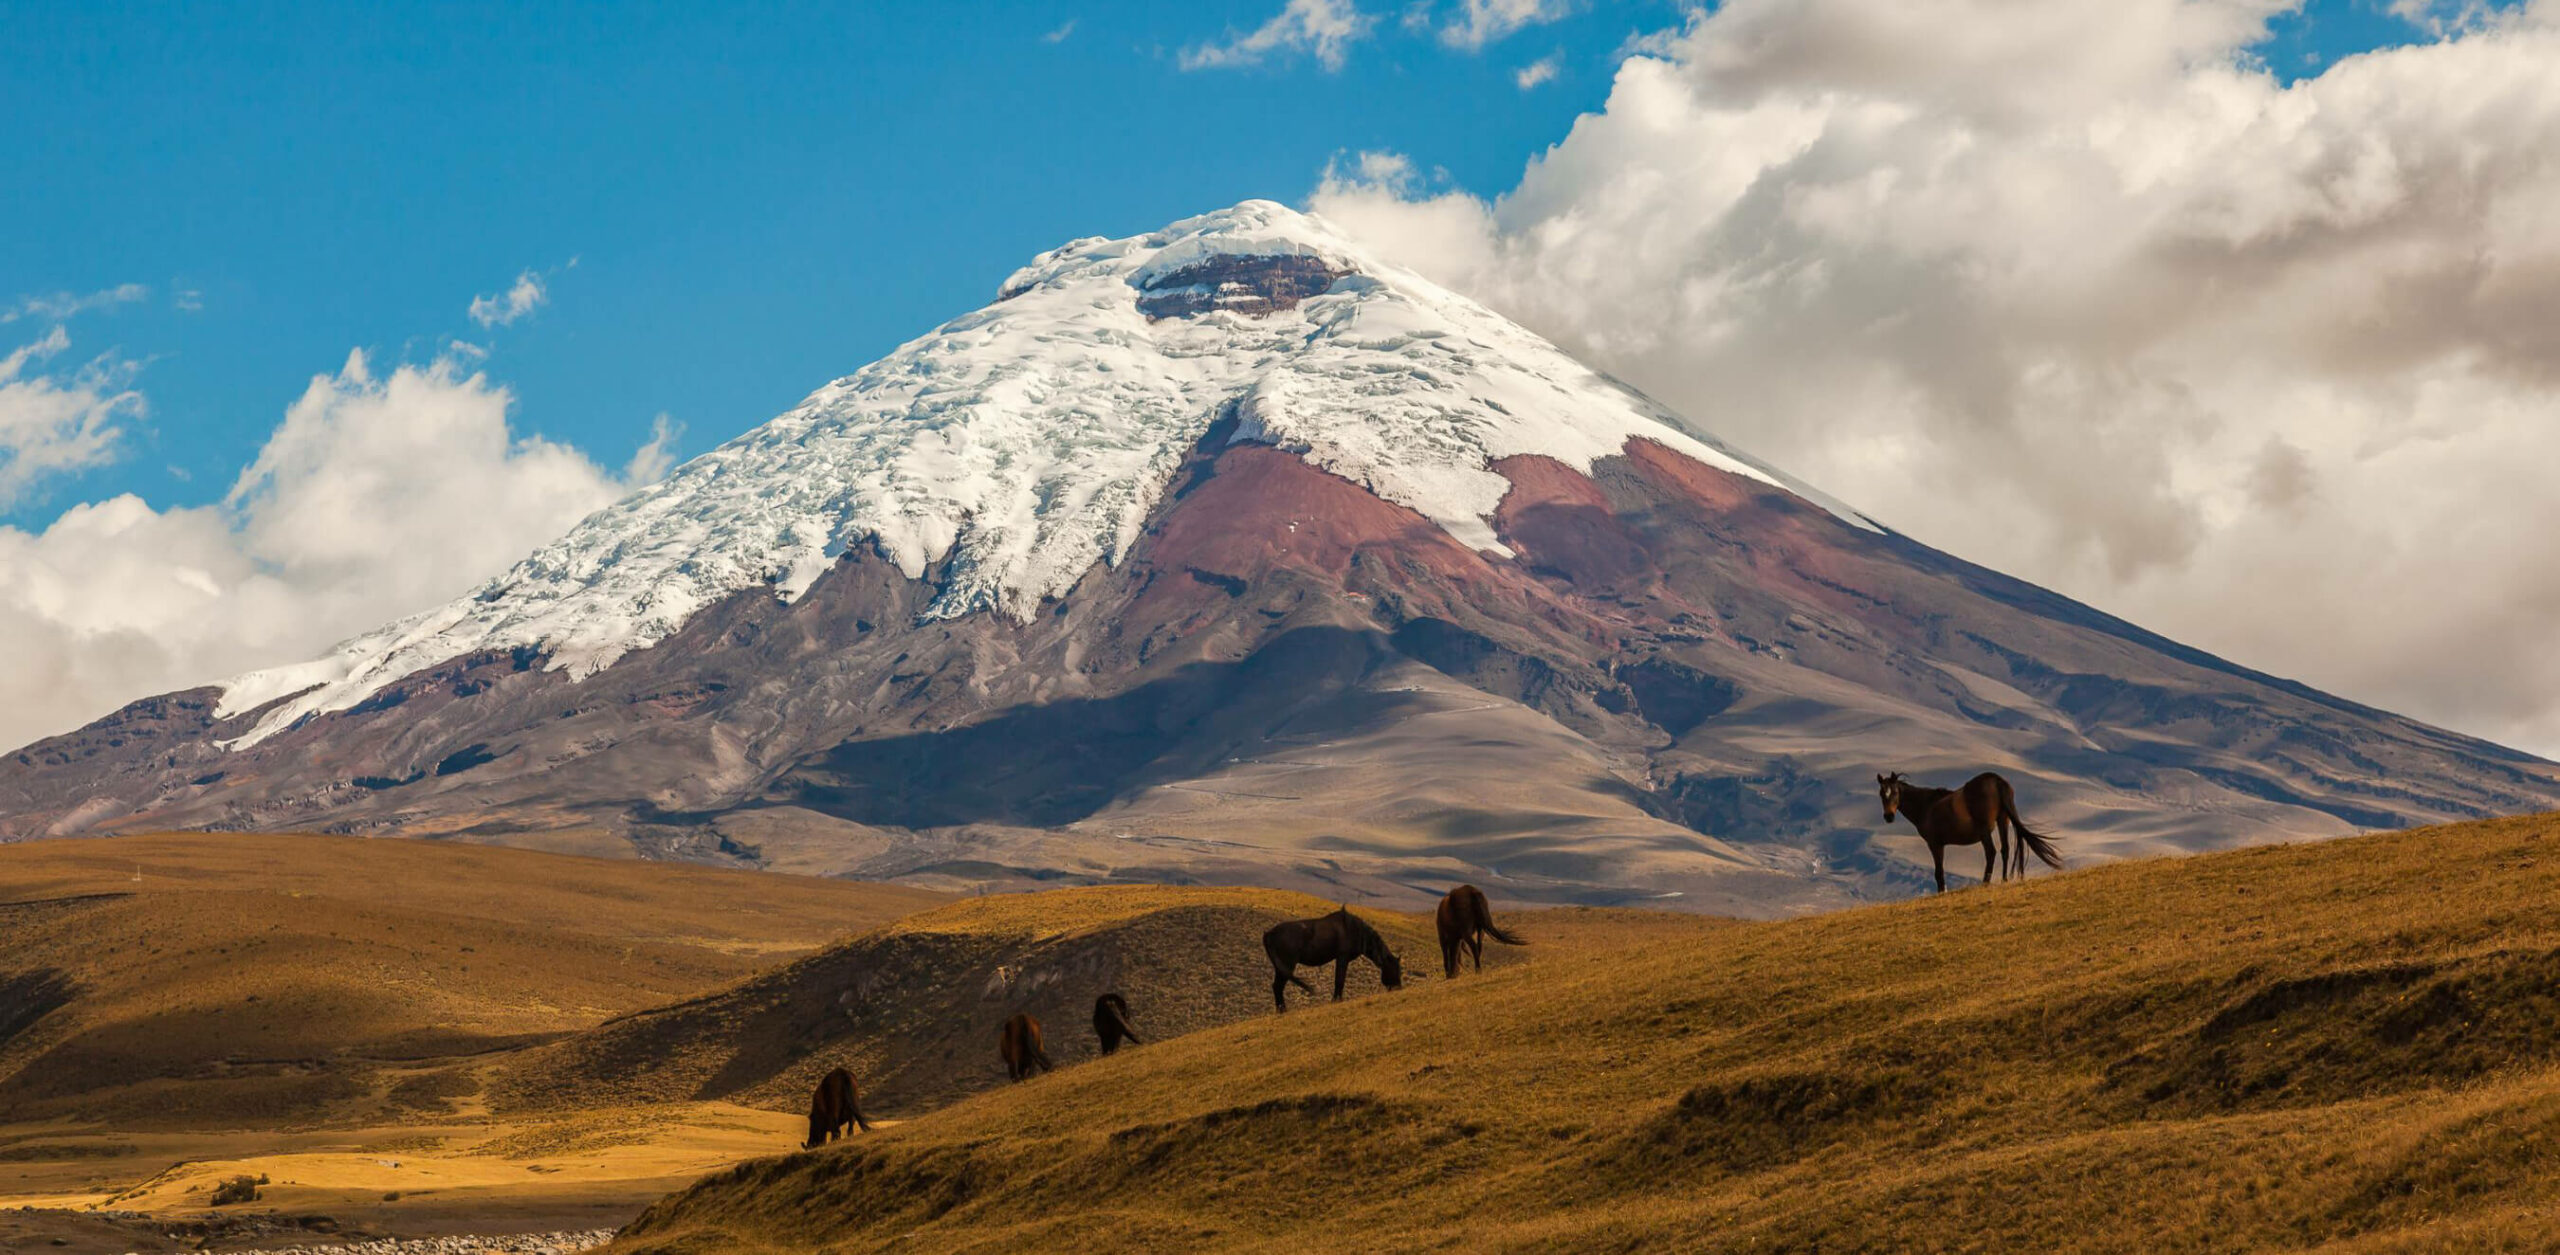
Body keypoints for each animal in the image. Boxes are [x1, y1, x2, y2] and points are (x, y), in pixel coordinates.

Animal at [1263, 906, 1403, 1012]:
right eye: (1394, 969)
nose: (1398, 988)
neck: (1355, 930)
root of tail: (1269, 933)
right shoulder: (1342, 958)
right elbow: (1339, 980)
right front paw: (1336, 1000)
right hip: (1287, 965)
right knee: (1278, 986)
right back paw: (1283, 1010)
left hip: (1280, 967)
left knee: (1276, 986)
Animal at [1877, 771, 2061, 892]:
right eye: (1881, 794)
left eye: (1895, 792)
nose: (1888, 816)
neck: (1926, 806)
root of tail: (1996, 780)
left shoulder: (1935, 844)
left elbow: (1939, 872)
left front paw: (1942, 892)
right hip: (2003, 821)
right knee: (2005, 850)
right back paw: (2004, 880)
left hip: (1985, 830)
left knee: (1991, 852)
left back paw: (1985, 882)